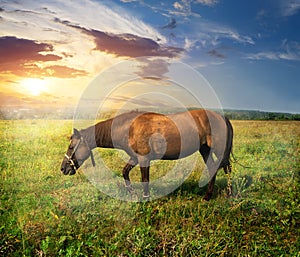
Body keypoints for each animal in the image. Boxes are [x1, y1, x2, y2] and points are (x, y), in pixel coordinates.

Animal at [61, 108, 233, 200]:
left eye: (71, 146)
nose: (63, 168)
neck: (128, 127)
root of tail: (222, 117)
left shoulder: (144, 159)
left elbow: (145, 179)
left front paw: (145, 198)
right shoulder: (135, 158)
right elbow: (125, 172)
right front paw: (133, 194)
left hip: (218, 149)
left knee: (226, 169)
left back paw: (228, 194)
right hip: (205, 149)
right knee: (213, 168)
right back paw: (208, 196)